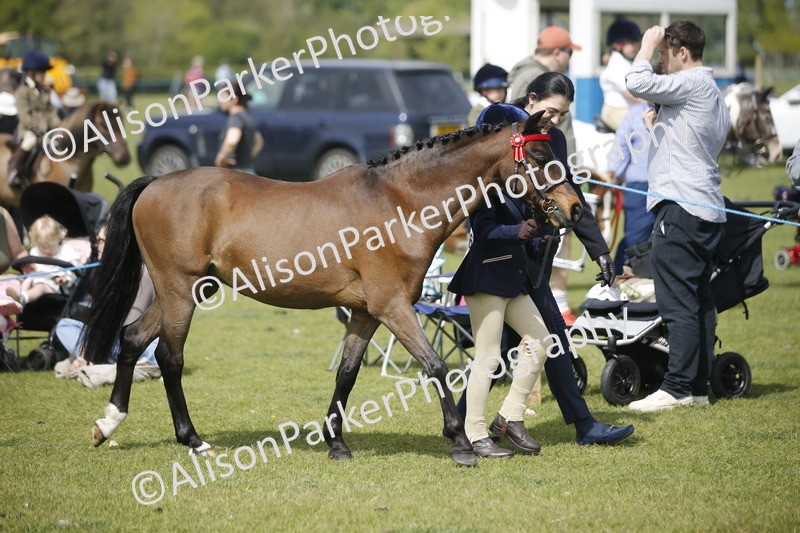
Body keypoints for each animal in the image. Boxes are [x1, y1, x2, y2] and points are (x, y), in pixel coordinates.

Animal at [81, 111, 584, 467]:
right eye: (541, 159)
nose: (576, 210)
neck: (400, 202)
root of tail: (156, 183)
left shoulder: (365, 312)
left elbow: (347, 373)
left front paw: (336, 442)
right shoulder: (393, 307)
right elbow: (436, 366)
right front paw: (460, 442)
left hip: (187, 291)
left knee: (132, 339)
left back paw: (108, 423)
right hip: (179, 291)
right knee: (169, 357)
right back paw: (193, 440)